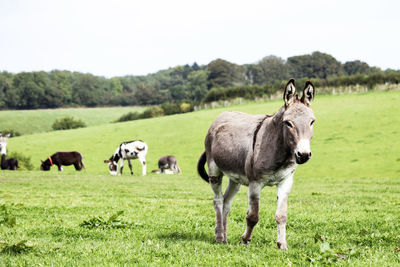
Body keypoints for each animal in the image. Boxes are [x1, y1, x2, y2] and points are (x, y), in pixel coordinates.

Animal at [197, 78, 316, 250]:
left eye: (312, 122)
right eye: (288, 123)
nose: (304, 155)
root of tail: (223, 114)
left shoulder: (286, 181)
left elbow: (282, 215)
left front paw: (282, 245)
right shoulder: (255, 183)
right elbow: (253, 216)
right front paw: (245, 239)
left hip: (235, 179)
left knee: (226, 202)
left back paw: (224, 237)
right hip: (214, 171)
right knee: (217, 200)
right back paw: (219, 236)